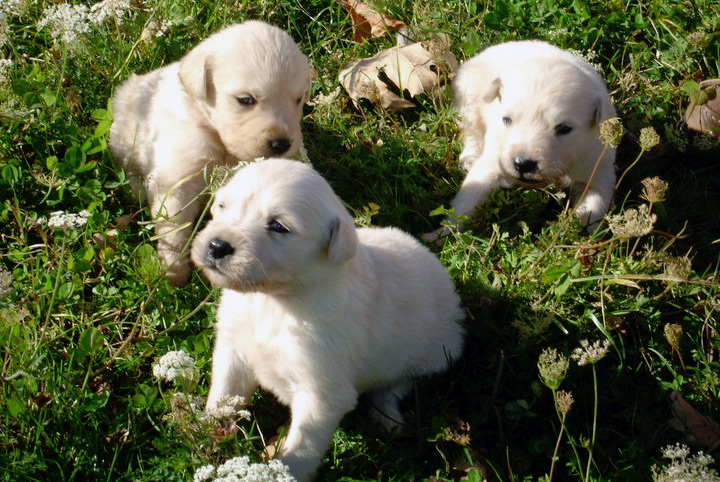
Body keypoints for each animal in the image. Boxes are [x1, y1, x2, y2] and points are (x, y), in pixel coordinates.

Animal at [108, 20, 310, 286]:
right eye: (245, 99)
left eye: (298, 99)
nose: (281, 144)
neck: (217, 136)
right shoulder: (179, 177)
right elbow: (173, 226)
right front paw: (174, 270)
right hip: (123, 139)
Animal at [190, 159, 466, 482]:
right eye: (222, 206)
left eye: (278, 226)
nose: (216, 246)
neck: (274, 301)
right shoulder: (233, 348)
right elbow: (223, 394)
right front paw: (202, 432)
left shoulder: (322, 390)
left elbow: (301, 448)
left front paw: (285, 472)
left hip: (435, 353)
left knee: (396, 384)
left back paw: (388, 418)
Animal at [424, 40, 616, 240]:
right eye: (507, 119)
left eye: (564, 128)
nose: (523, 164)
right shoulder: (494, 159)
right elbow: (467, 199)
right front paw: (439, 235)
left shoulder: (597, 166)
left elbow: (595, 204)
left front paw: (586, 232)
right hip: (469, 98)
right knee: (472, 131)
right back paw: (469, 158)